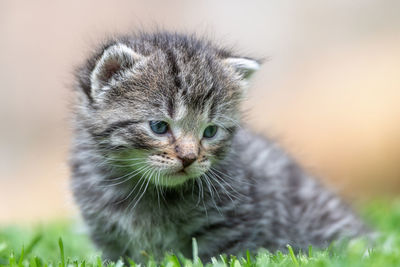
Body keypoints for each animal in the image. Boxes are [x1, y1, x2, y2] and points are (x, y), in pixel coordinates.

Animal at [71, 31, 368, 264]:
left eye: (210, 131)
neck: (147, 191)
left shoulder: (233, 225)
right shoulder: (108, 237)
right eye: (158, 126)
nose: (189, 158)